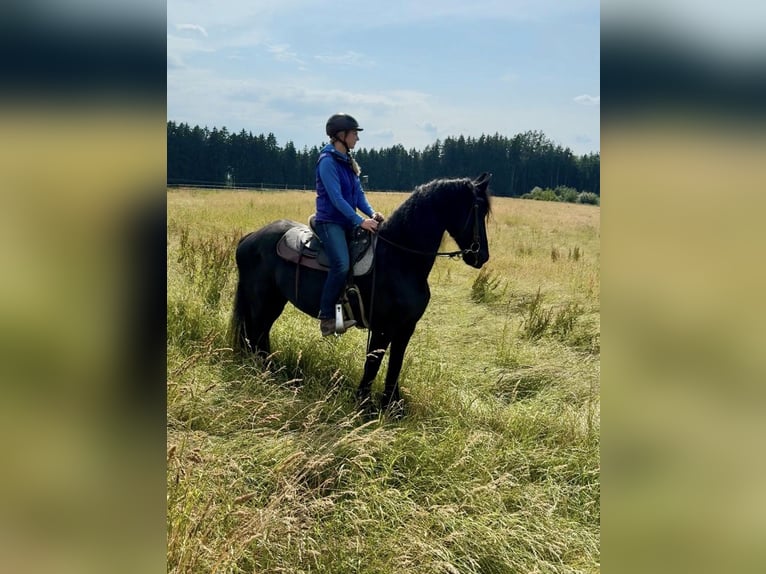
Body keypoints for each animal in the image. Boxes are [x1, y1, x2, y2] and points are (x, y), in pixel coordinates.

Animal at [230, 172, 492, 411]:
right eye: (478, 210)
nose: (481, 256)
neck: (399, 259)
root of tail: (250, 238)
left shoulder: (405, 328)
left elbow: (395, 363)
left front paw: (392, 406)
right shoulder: (383, 327)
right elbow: (373, 363)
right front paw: (364, 403)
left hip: (275, 301)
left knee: (261, 334)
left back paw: (272, 369)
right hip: (261, 301)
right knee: (256, 334)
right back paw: (264, 371)